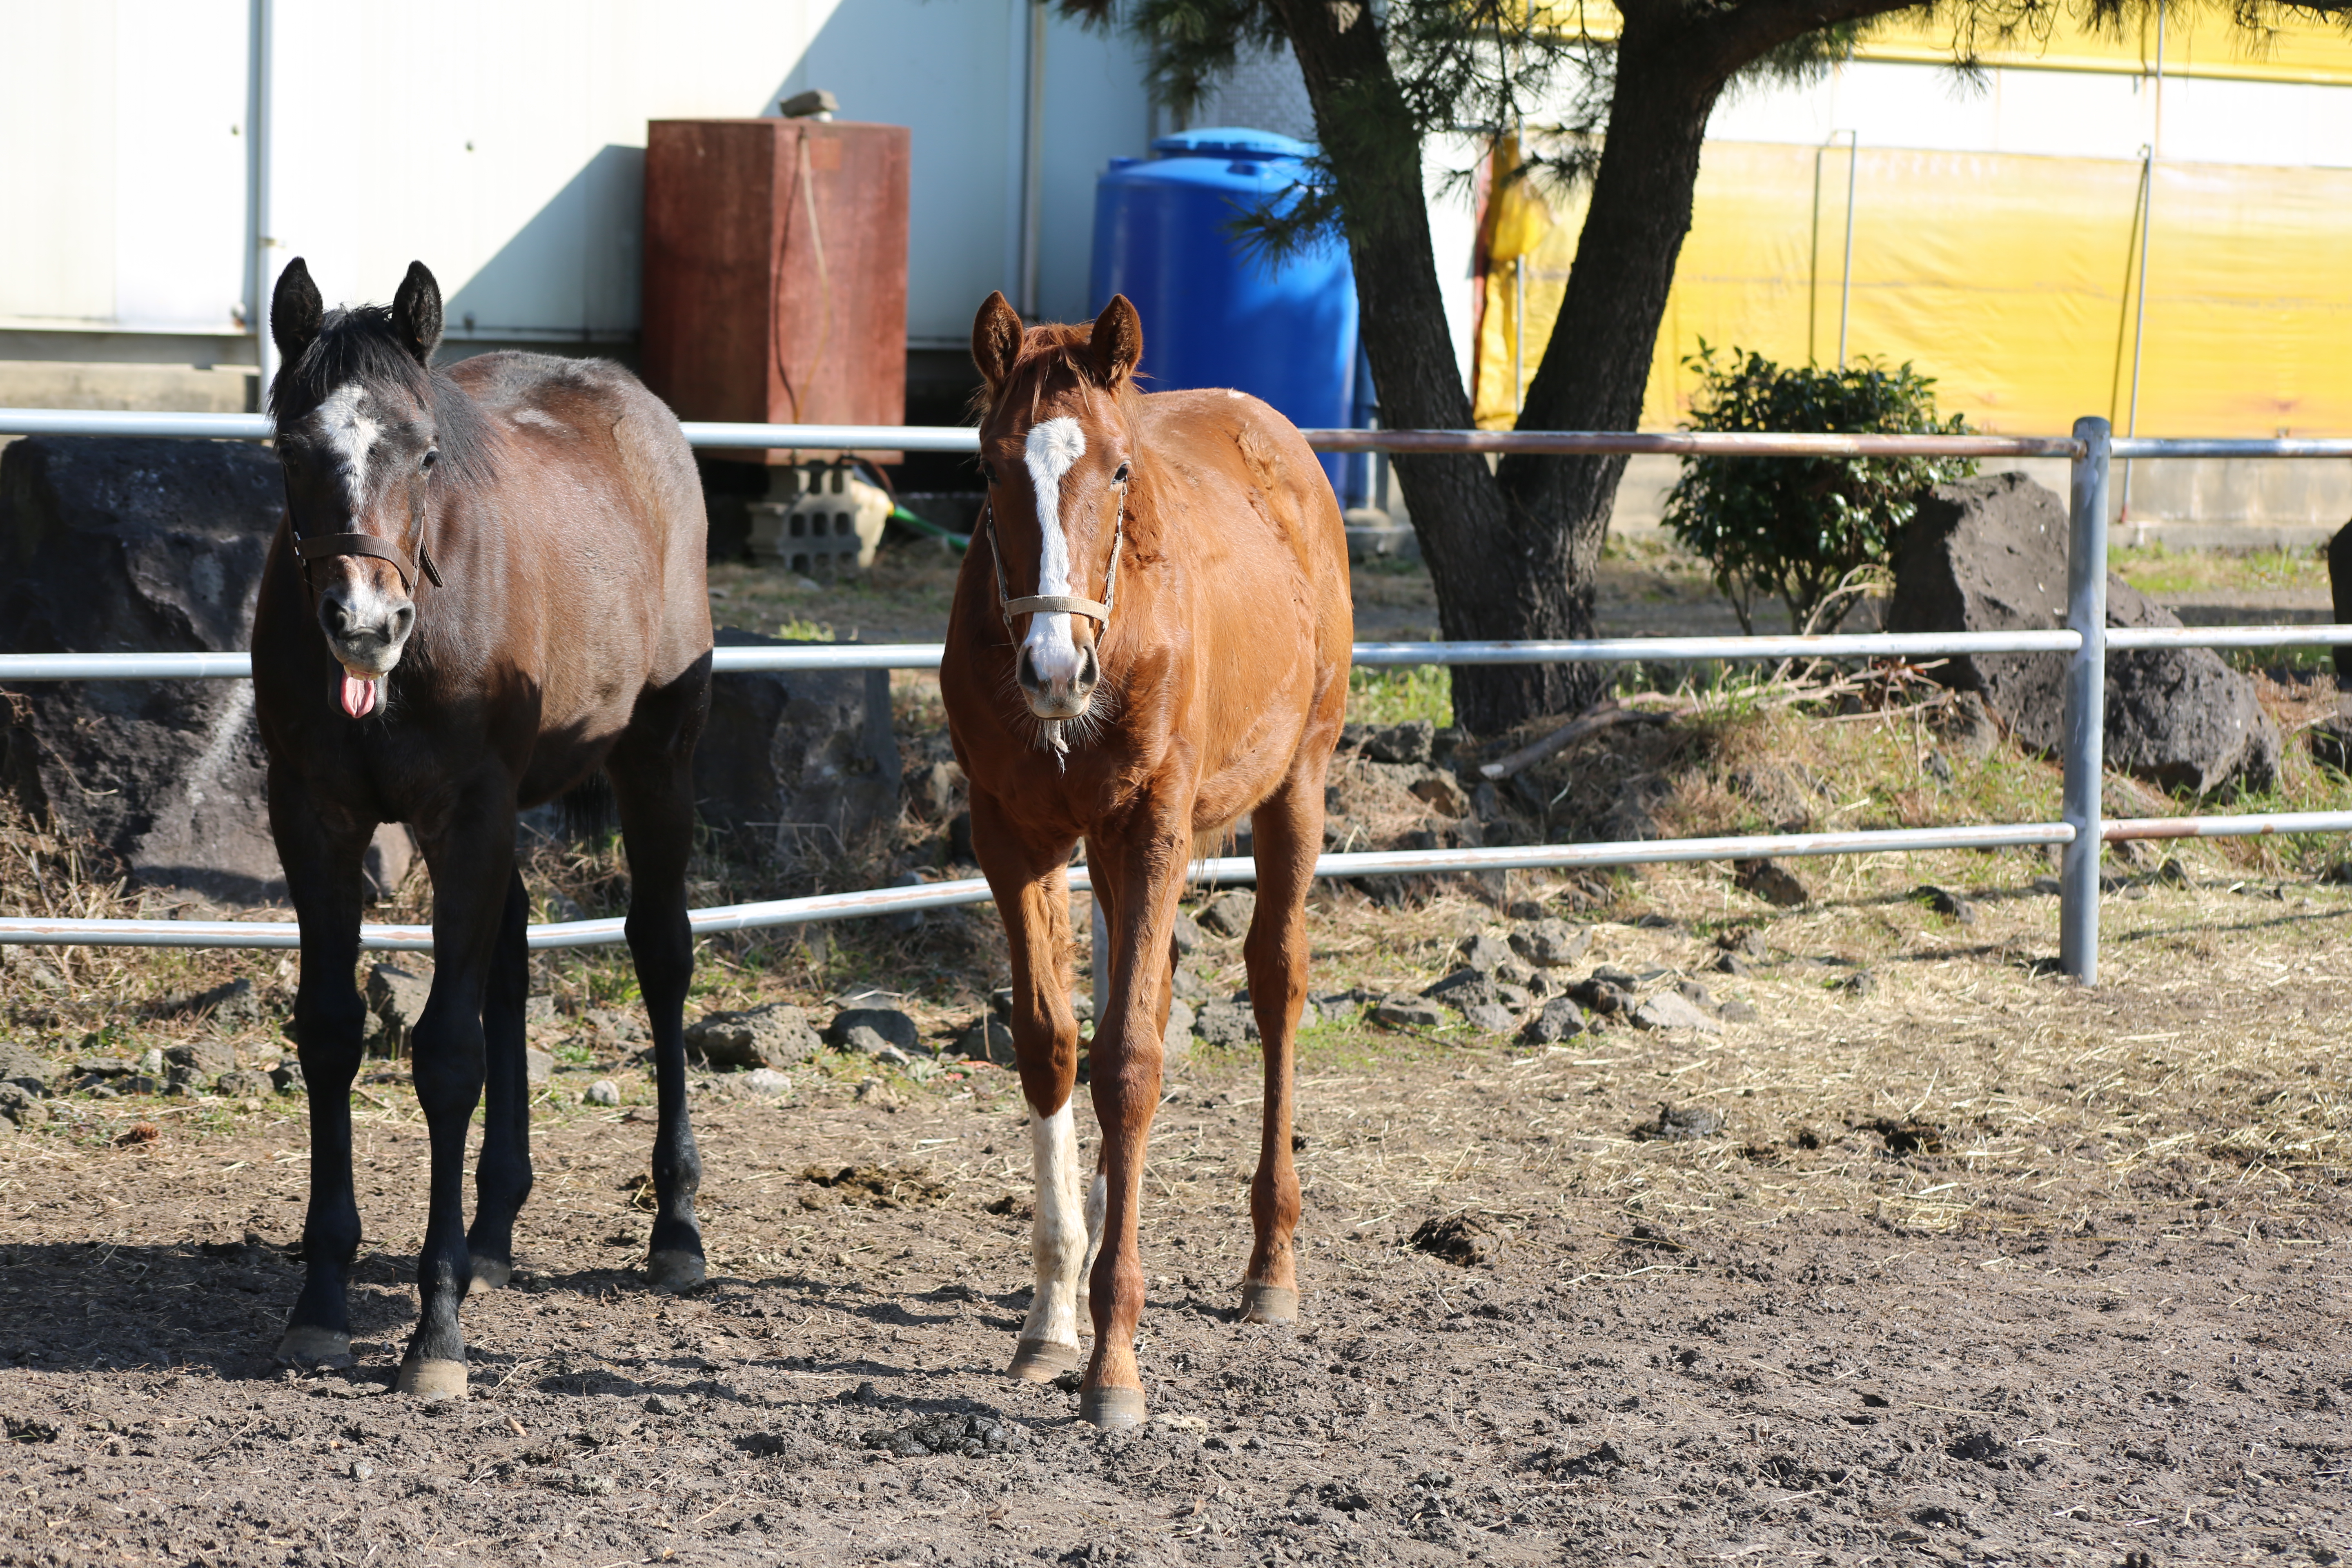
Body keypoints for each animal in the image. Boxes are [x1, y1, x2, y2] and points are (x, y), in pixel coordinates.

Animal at [256, 261, 710, 1401]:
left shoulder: (467, 814)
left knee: (661, 950)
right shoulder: (315, 818)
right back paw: (494, 1226)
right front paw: (321, 1301)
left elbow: (447, 1055)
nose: (364, 625)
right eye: (290, 448)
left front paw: (436, 1331)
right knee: (509, 956)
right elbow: (331, 1034)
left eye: (424, 451)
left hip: (657, 757)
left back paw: (675, 1229)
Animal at [931, 288, 1345, 1429]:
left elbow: (1128, 1064)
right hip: (1112, 854)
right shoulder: (1015, 836)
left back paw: (1271, 1267)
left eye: (1119, 470)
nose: (1052, 668)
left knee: (1275, 985)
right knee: (1141, 1002)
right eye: (988, 466)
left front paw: (1112, 1360)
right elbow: (1054, 1045)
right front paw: (1052, 1318)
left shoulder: (1156, 824)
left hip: (1294, 787)